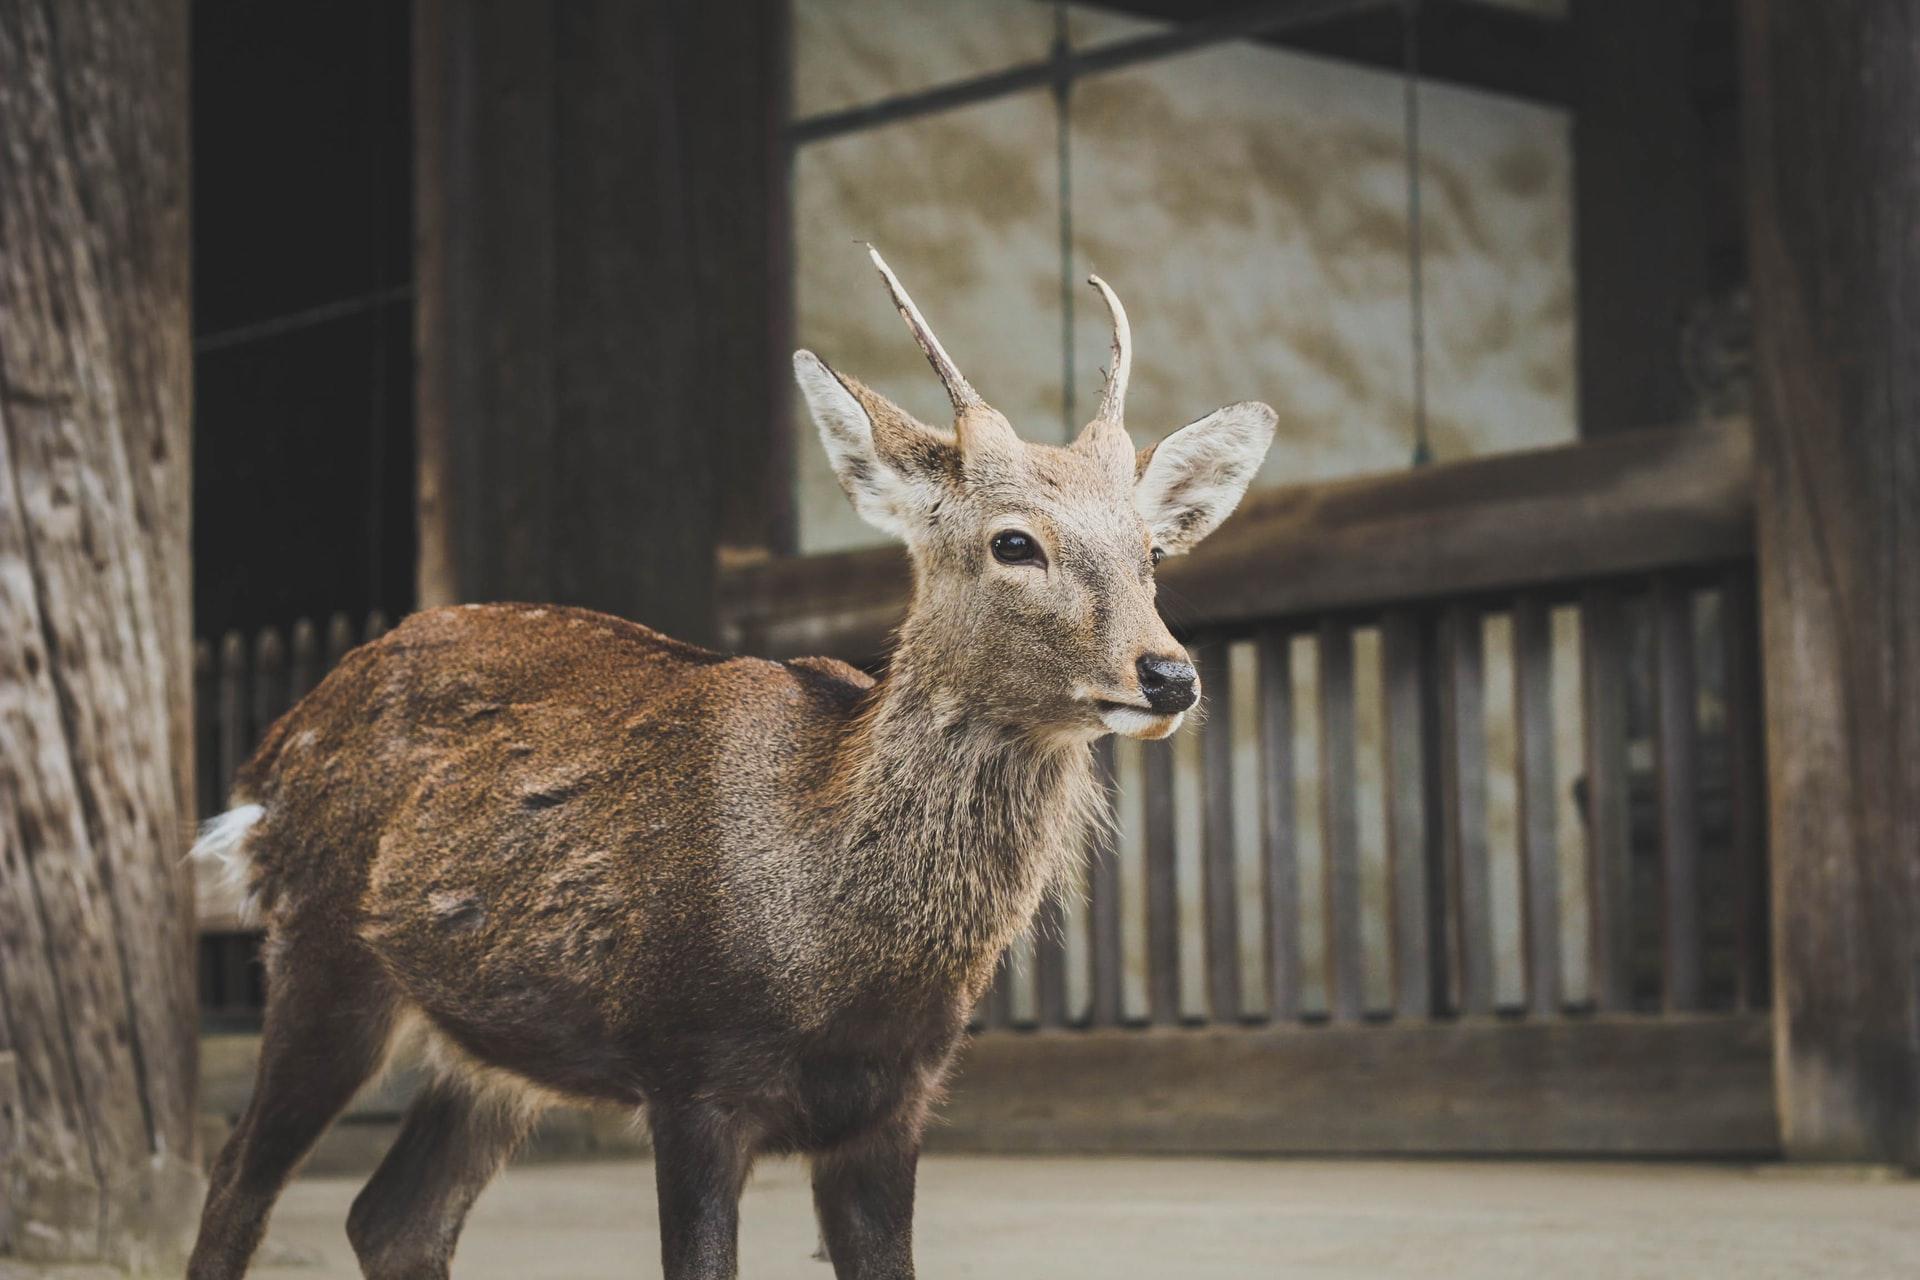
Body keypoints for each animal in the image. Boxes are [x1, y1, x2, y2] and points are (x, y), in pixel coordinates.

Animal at [187, 249, 1274, 1280]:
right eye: (1014, 543)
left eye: (1153, 554)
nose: (1169, 673)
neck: (835, 953)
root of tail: (271, 756)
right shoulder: (692, 1071)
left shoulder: (895, 1103)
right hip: (323, 949)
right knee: (238, 1175)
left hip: (491, 1042)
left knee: (393, 1218)